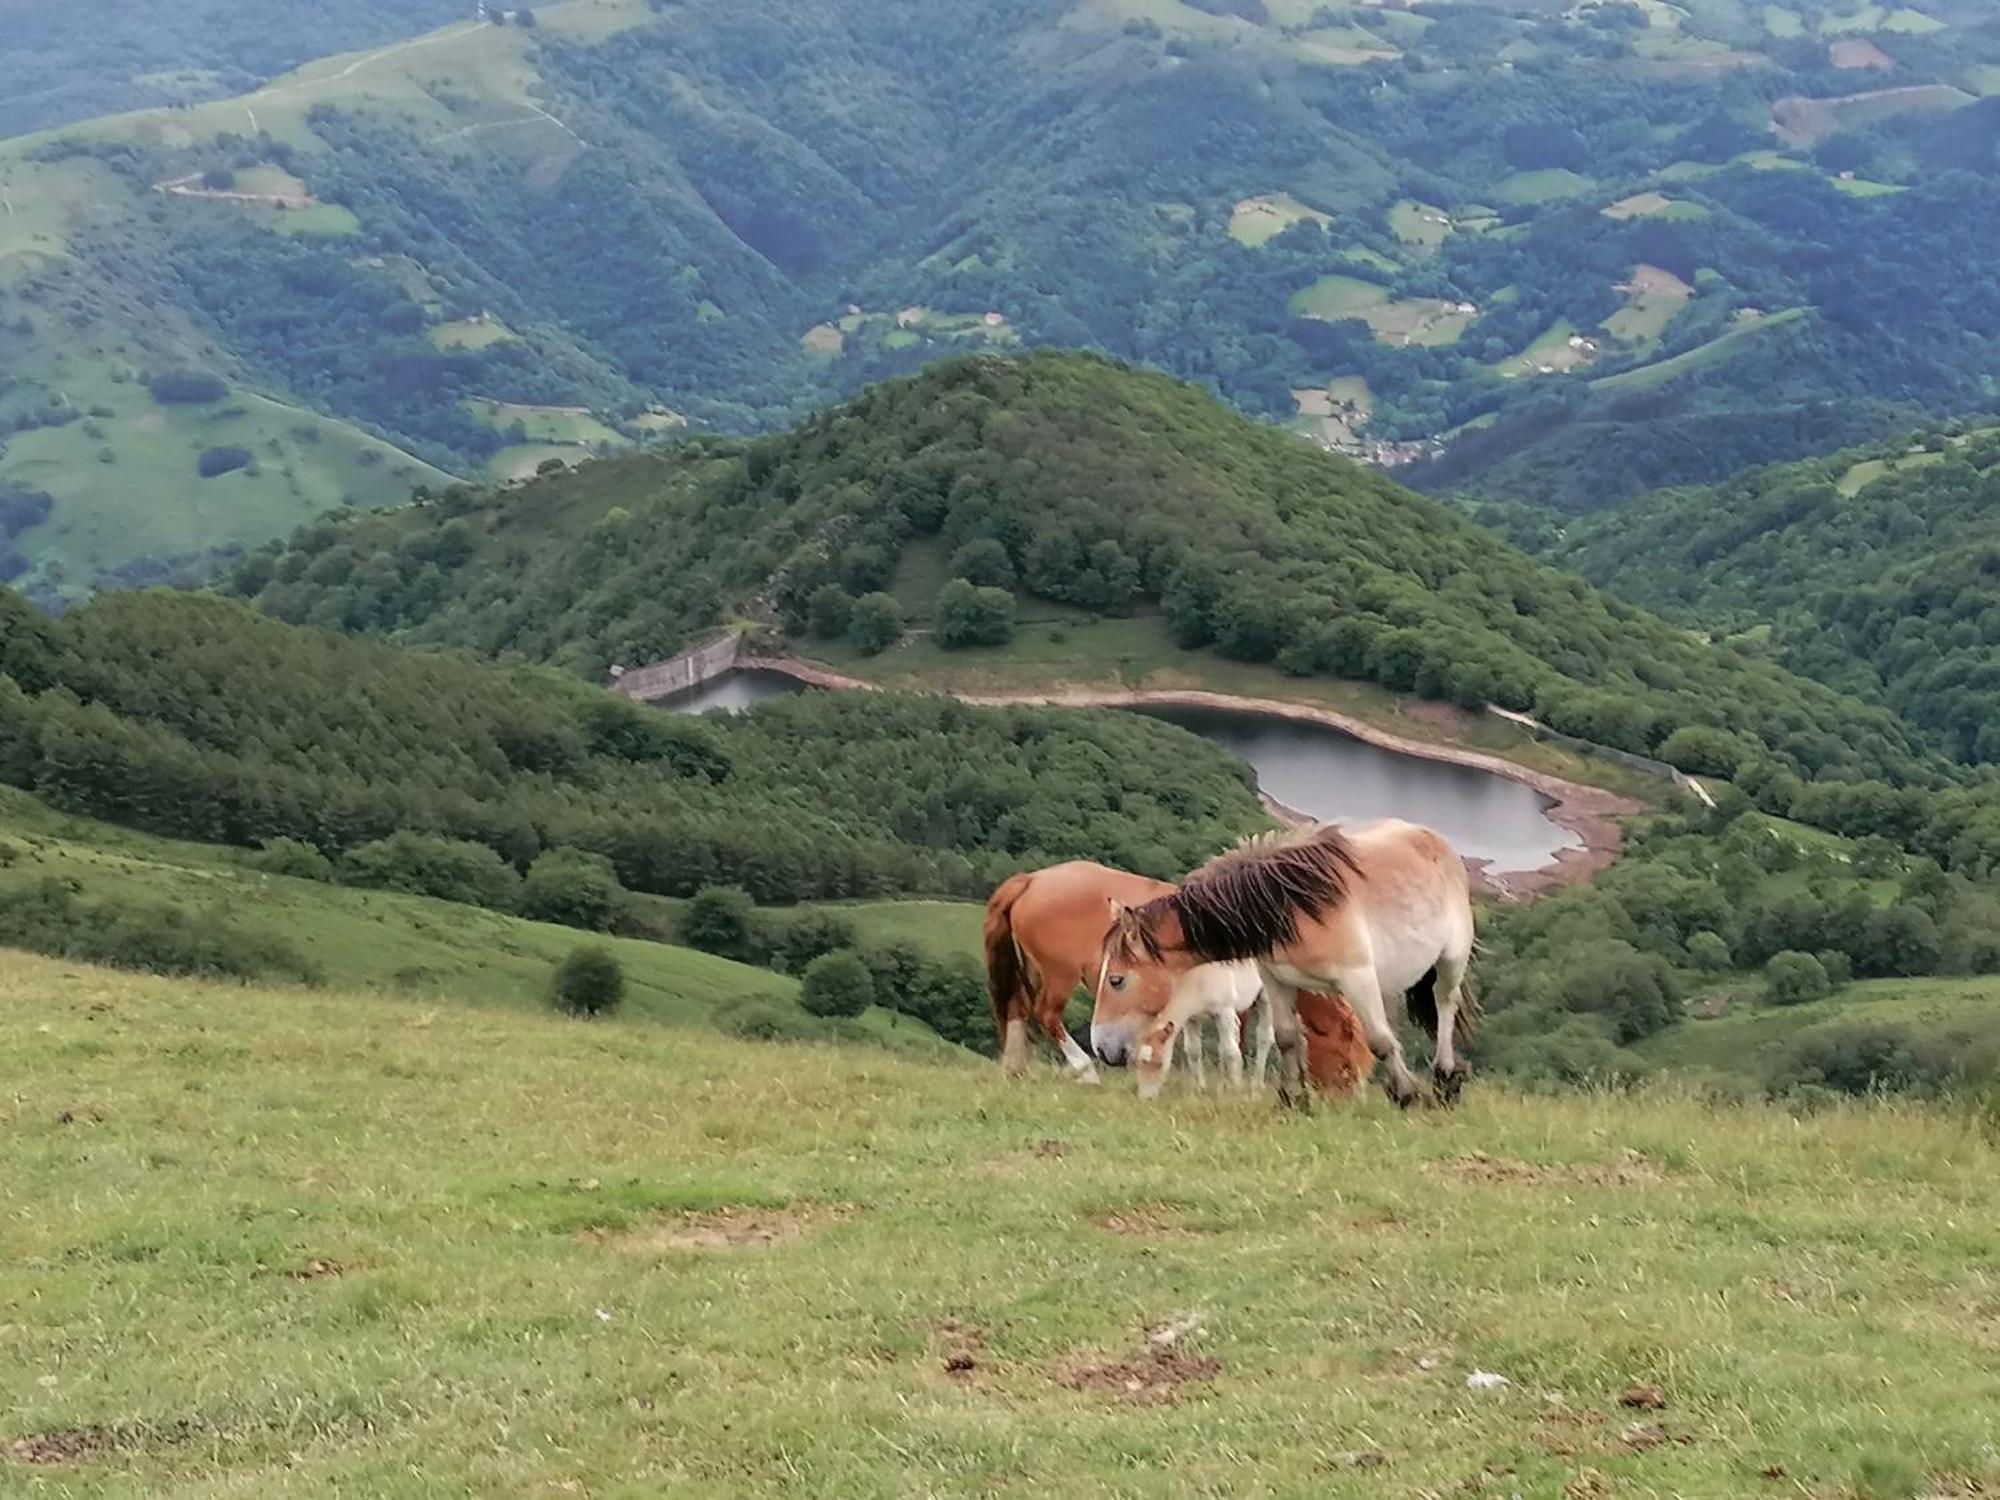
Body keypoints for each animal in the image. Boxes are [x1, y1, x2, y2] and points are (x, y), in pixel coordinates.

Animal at [984, 864, 1376, 1096]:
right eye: (1347, 1058)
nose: (1352, 1097)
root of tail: (1033, 879)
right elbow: (1246, 1041)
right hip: (1059, 975)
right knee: (1047, 1015)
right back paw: (1085, 1070)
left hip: (1032, 970)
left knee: (1017, 1009)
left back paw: (1015, 1070)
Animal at [1096, 828, 1472, 1112]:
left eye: (1116, 980)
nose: (1101, 1048)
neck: (1289, 908)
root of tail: (1434, 839)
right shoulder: (1277, 982)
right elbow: (1287, 1038)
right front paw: (1292, 1099)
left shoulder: (1357, 978)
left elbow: (1379, 1040)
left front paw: (1407, 1094)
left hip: (1451, 960)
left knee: (1444, 1004)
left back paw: (1445, 1080)